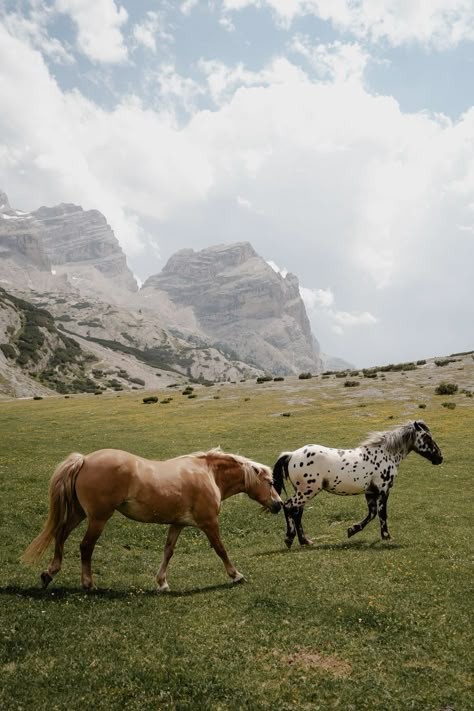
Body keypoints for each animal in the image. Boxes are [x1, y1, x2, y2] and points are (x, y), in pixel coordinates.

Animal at [22, 448, 282, 592]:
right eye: (270, 482)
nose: (279, 504)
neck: (208, 474)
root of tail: (84, 459)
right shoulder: (209, 523)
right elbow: (220, 549)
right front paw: (236, 575)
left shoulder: (177, 524)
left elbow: (168, 551)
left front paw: (162, 582)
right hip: (98, 517)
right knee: (85, 546)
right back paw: (88, 584)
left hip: (79, 513)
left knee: (61, 534)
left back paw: (49, 574)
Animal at [272, 422, 442, 552]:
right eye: (426, 437)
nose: (440, 458)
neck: (386, 454)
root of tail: (292, 455)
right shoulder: (383, 490)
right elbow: (382, 514)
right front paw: (386, 536)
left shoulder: (370, 492)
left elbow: (372, 514)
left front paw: (351, 530)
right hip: (307, 491)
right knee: (288, 506)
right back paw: (289, 539)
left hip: (303, 492)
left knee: (297, 512)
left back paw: (305, 541)